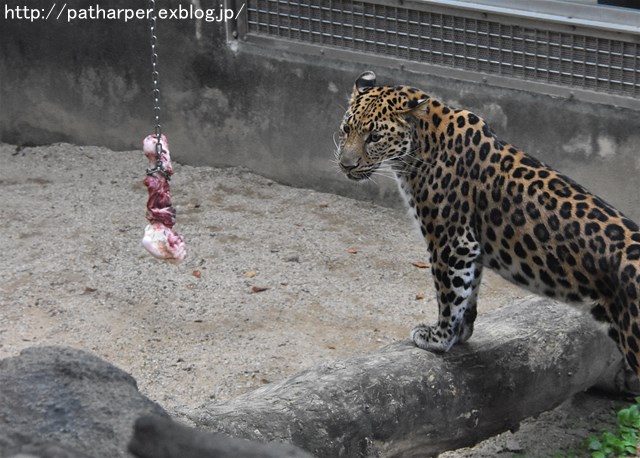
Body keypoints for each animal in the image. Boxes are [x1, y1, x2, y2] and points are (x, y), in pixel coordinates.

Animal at [336, 70, 640, 380]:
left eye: (374, 137)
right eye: (346, 129)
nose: (345, 165)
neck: (420, 144)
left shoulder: (450, 242)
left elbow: (448, 293)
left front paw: (438, 338)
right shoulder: (470, 249)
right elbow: (467, 292)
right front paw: (461, 333)